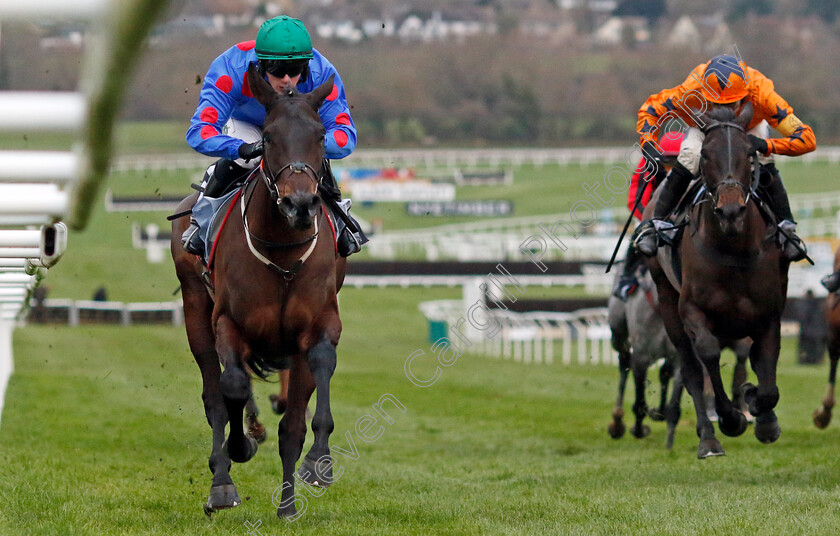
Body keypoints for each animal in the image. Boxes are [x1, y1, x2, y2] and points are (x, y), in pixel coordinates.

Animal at [172, 63, 346, 520]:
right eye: (267, 137)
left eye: (321, 135)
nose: (299, 204)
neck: (282, 253)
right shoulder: (230, 324)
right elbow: (231, 387)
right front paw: (241, 446)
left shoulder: (319, 323)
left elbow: (310, 394)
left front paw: (316, 466)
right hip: (195, 311)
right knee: (214, 395)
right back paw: (222, 483)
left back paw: (286, 501)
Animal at [644, 102, 788, 458]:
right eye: (706, 155)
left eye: (749, 153)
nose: (731, 210)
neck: (732, 248)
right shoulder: (692, 309)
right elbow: (707, 355)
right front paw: (731, 418)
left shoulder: (768, 313)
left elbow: (766, 375)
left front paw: (761, 414)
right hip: (667, 301)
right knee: (691, 367)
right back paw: (708, 438)